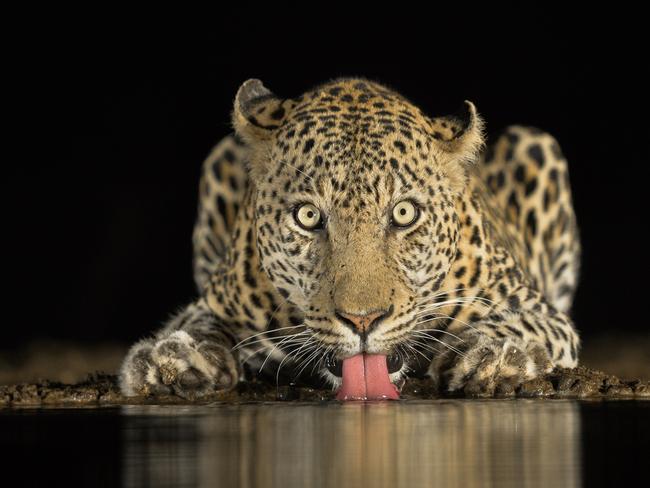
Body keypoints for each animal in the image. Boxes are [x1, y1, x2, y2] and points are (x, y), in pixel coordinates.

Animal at [119, 78, 580, 398]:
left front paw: (495, 354)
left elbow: (525, 323)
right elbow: (195, 324)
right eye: (308, 217)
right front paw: (173, 355)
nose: (363, 320)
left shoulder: (534, 305)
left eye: (403, 213)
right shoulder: (217, 301)